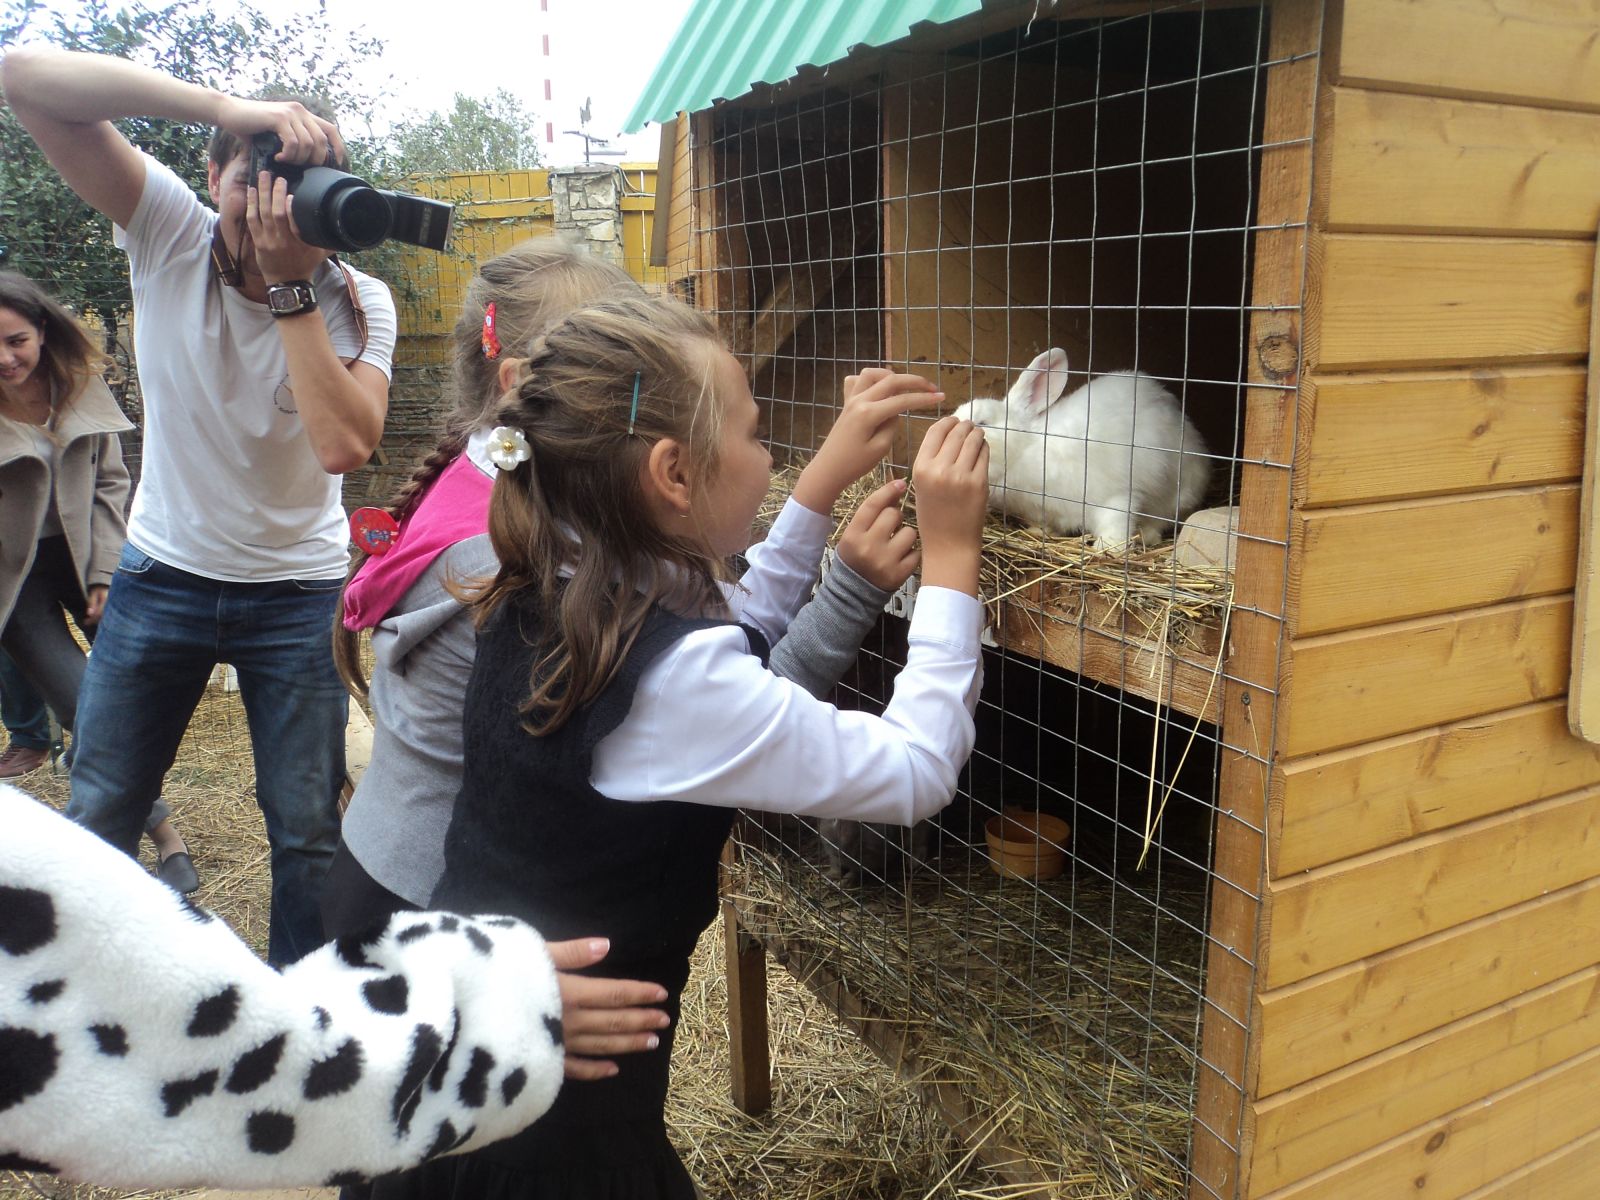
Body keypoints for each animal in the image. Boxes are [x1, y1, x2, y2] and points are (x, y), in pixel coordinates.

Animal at [952, 348, 1212, 546]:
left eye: (983, 422)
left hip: (1179, 491)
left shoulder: (1115, 498)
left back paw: (1146, 536)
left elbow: (1115, 525)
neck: (1026, 450)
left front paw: (1107, 549)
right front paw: (1038, 533)